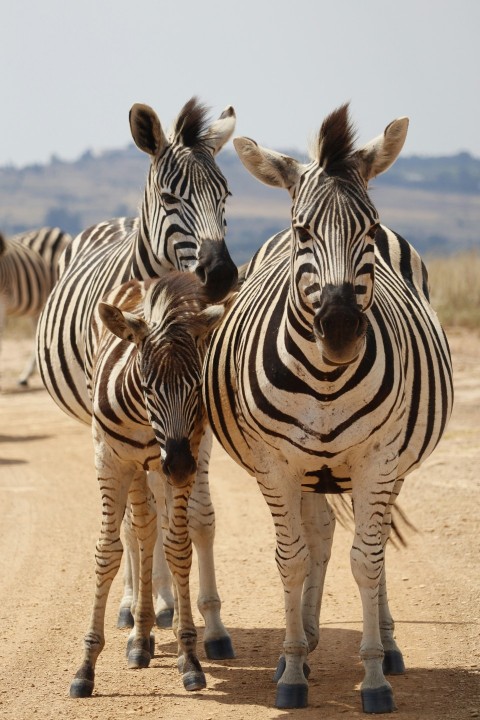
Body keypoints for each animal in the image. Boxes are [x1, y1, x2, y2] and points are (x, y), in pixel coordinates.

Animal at [70, 271, 229, 698]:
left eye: (195, 387)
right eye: (147, 386)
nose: (179, 465)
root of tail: (145, 280)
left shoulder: (181, 453)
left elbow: (178, 549)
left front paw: (189, 657)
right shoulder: (110, 459)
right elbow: (107, 553)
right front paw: (86, 665)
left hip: (171, 464)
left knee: (170, 528)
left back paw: (158, 635)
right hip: (138, 469)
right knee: (141, 530)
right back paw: (139, 638)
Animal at [203, 104, 453, 713]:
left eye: (368, 229)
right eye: (303, 232)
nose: (340, 331)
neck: (326, 378)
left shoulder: (378, 461)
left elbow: (367, 560)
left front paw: (375, 676)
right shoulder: (275, 464)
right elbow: (292, 560)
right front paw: (292, 669)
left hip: (388, 467)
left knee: (371, 545)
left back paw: (387, 645)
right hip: (310, 471)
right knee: (317, 537)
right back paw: (307, 640)